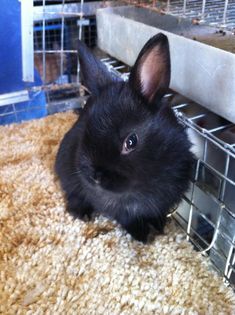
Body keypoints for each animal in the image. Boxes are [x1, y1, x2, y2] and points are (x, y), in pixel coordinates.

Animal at [55, 34, 195, 242]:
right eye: (85, 130)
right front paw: (142, 236)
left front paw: (159, 227)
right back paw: (82, 213)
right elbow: (128, 218)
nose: (95, 177)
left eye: (131, 141)